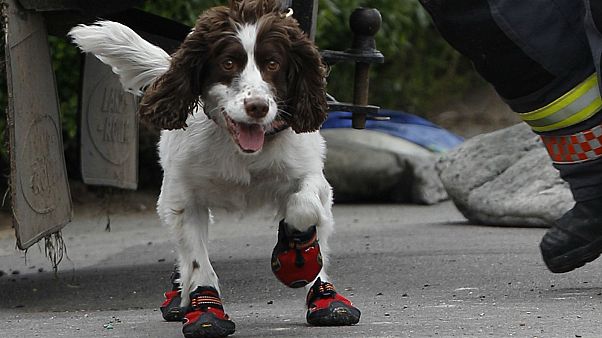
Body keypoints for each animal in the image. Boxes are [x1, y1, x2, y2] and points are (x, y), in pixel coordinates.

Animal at [70, 1, 360, 336]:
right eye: (228, 62)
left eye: (273, 64)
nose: (257, 107)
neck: (242, 150)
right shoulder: (184, 200)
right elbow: (197, 260)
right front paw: (205, 310)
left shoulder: (312, 177)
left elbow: (303, 209)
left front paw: (294, 254)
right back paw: (181, 296)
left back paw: (326, 298)